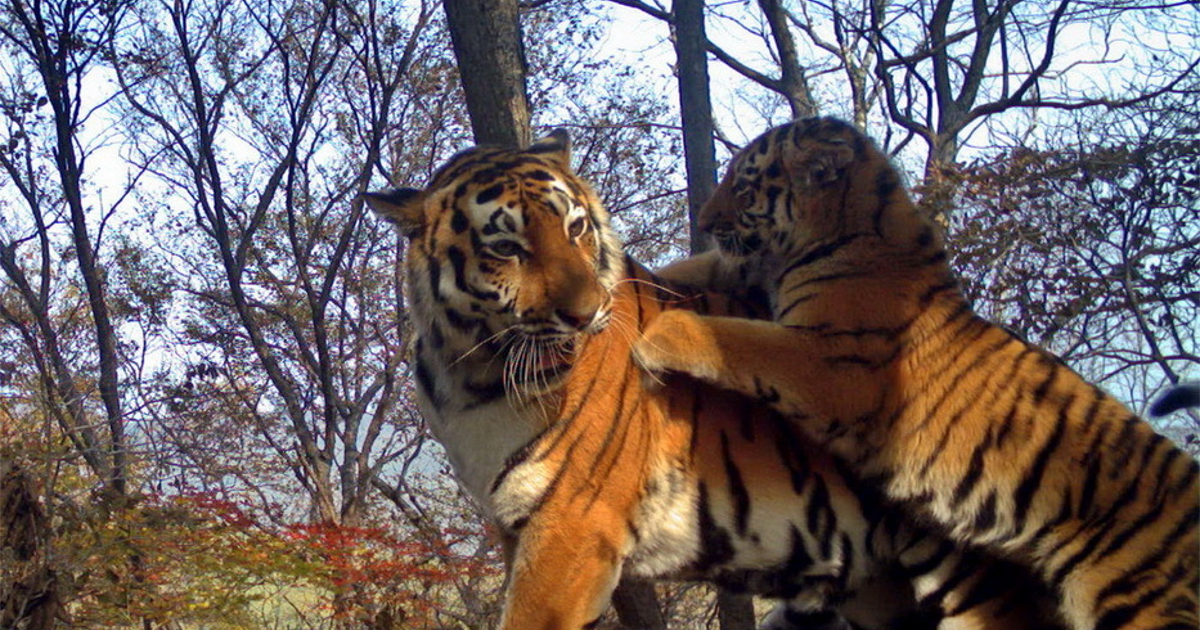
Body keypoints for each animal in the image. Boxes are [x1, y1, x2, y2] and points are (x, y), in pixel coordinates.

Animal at [362, 131, 1060, 628]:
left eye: (576, 228)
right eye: (506, 248)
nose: (587, 314)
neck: (468, 371)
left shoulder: (569, 530)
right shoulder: (516, 528)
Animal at [628, 116, 1200, 628]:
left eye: (745, 185)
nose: (704, 221)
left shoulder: (836, 364)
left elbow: (736, 340)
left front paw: (659, 334)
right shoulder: (753, 278)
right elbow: (698, 270)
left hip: (1132, 597)